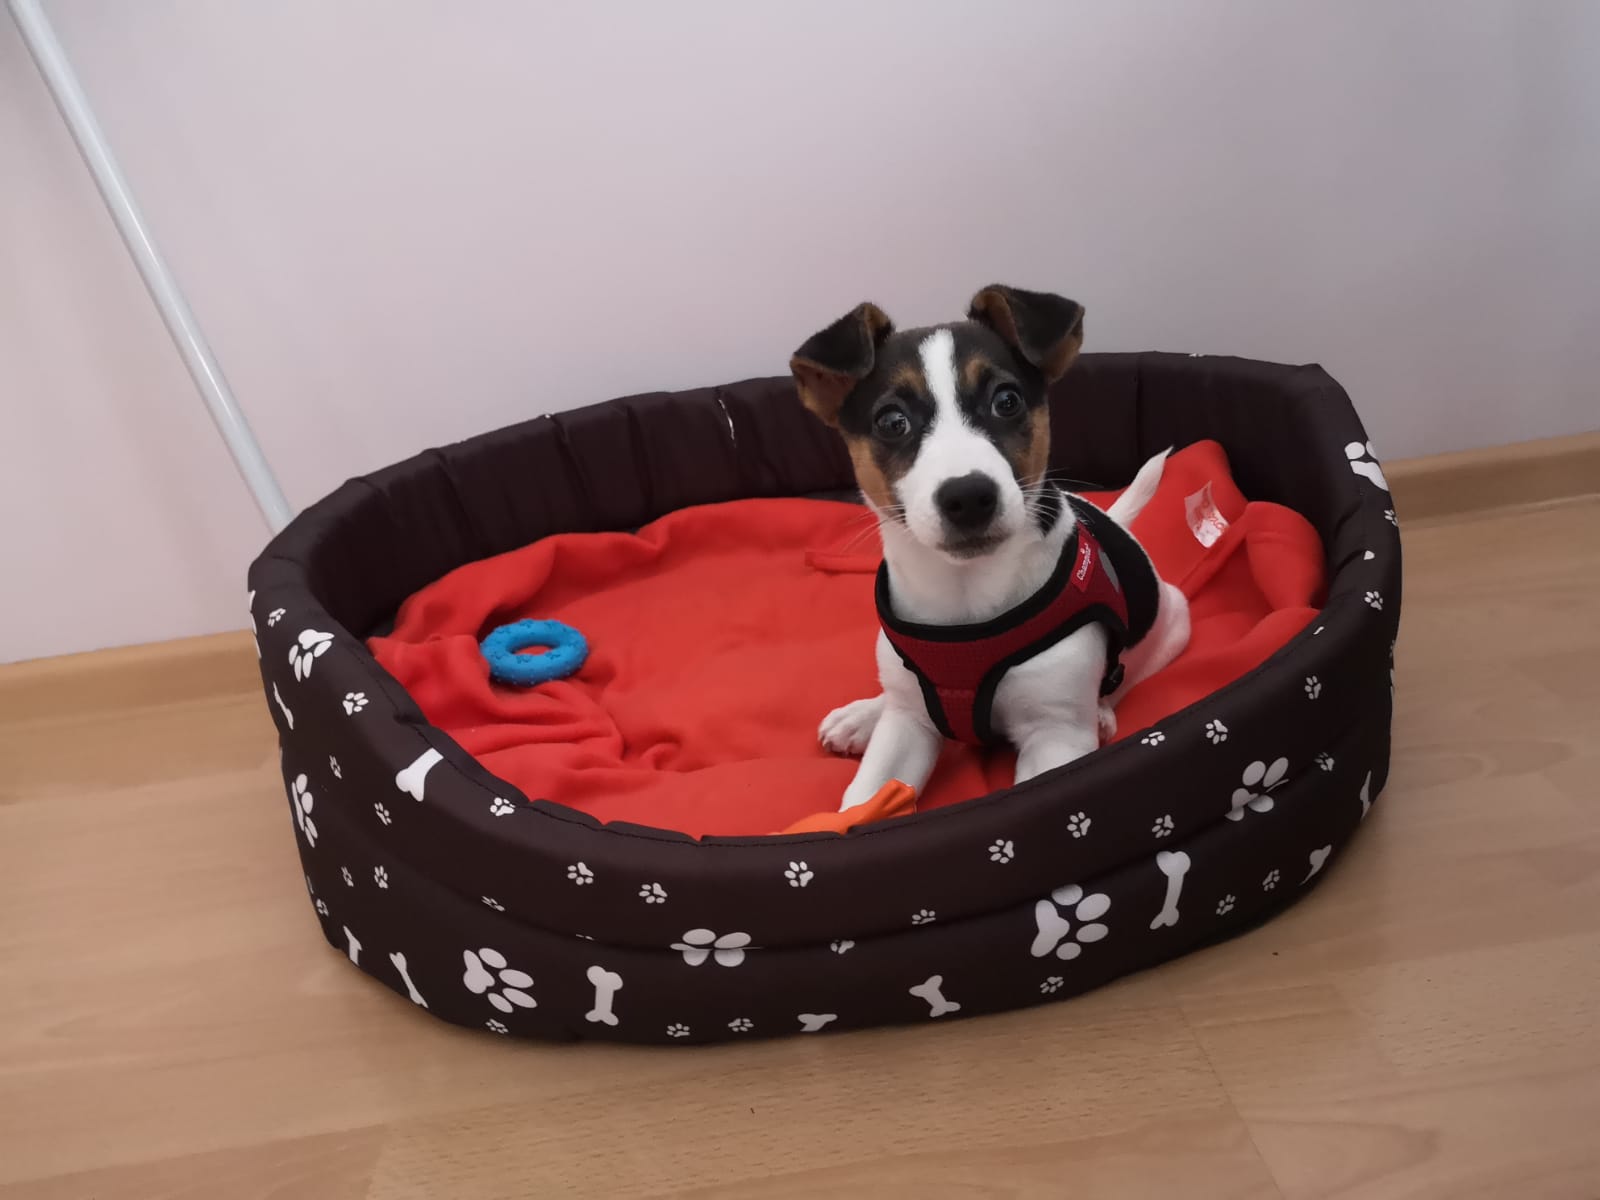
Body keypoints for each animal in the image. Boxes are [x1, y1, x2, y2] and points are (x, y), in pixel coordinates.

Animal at [790, 285, 1191, 811]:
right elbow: (866, 798)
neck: (967, 599)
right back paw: (863, 715)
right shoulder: (907, 729)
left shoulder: (1055, 739)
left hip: (1172, 627)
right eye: (892, 422)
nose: (968, 497)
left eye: (1007, 401)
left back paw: (1102, 711)